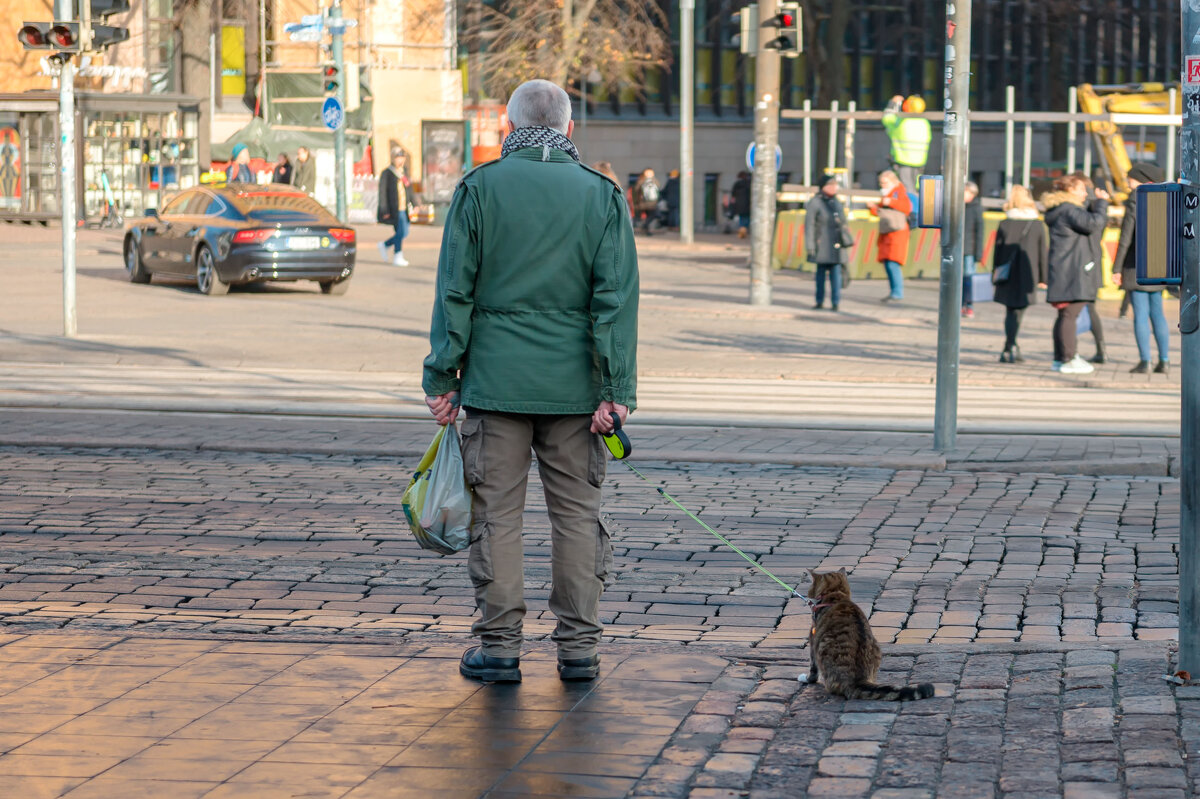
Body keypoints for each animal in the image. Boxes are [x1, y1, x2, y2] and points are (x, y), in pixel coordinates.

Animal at [801, 566, 931, 695]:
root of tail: (858, 680)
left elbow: (813, 669)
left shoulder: (813, 637)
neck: (836, 595)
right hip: (877, 646)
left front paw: (806, 678)